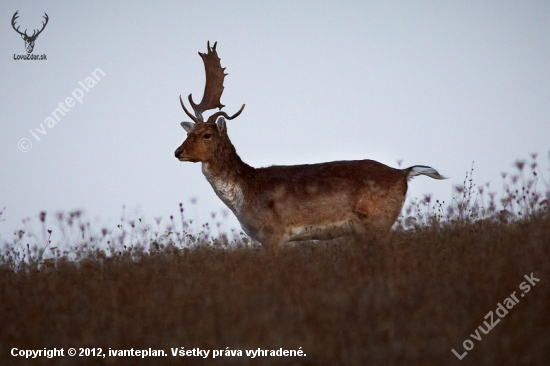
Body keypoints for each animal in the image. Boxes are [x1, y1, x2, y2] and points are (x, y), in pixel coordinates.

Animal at [175, 42, 446, 249]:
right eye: (188, 133)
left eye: (207, 135)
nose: (178, 152)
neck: (246, 195)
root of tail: (403, 173)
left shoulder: (274, 233)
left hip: (378, 221)